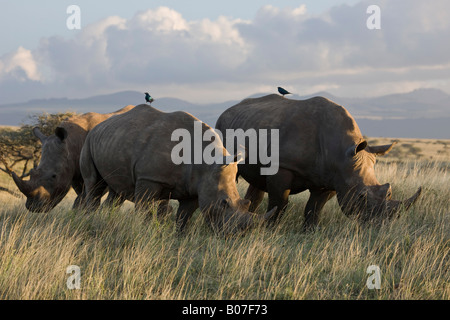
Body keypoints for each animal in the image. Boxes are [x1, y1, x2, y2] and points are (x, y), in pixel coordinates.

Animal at [79, 105, 276, 235]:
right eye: (223, 203)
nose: (236, 235)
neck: (206, 161)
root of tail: (98, 126)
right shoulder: (148, 178)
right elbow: (144, 208)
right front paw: (144, 230)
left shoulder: (195, 186)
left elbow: (184, 215)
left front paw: (180, 236)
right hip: (88, 142)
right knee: (94, 185)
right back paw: (90, 219)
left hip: (110, 140)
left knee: (116, 191)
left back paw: (105, 219)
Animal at [215, 95, 422, 230]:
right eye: (361, 197)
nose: (380, 226)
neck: (342, 153)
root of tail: (229, 109)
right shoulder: (282, 166)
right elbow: (279, 202)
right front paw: (271, 228)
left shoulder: (333, 177)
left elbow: (314, 207)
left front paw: (310, 231)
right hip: (221, 128)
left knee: (257, 182)